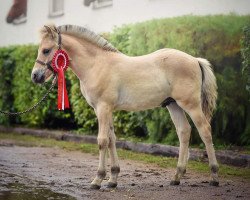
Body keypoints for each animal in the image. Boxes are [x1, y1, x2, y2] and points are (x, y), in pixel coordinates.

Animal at [31, 24, 219, 188]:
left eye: (46, 50)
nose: (35, 76)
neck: (96, 64)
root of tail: (195, 60)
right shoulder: (104, 110)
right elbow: (112, 139)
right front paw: (112, 179)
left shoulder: (103, 108)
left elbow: (102, 141)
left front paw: (97, 180)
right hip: (173, 105)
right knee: (184, 131)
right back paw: (176, 177)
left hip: (191, 105)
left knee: (205, 131)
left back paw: (214, 176)